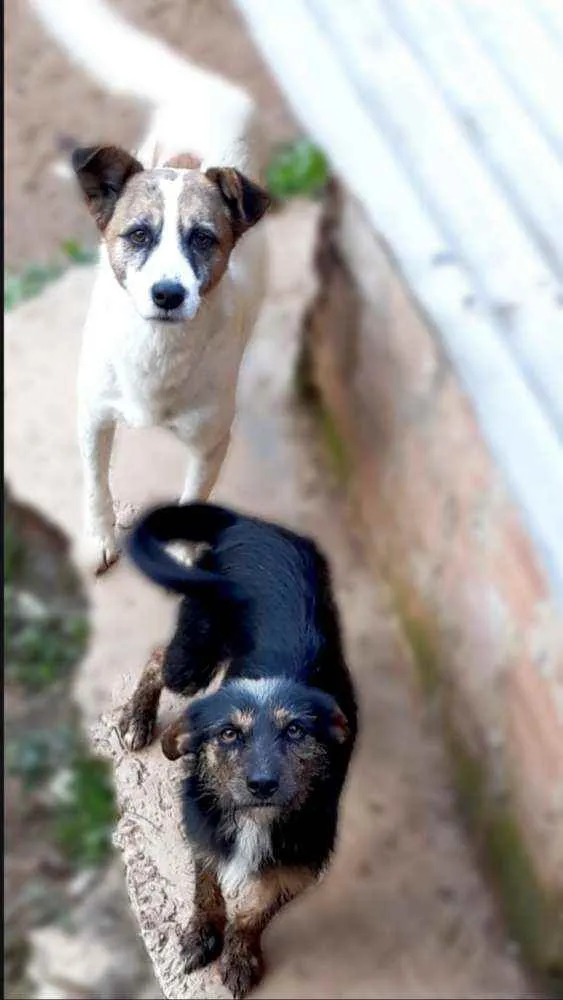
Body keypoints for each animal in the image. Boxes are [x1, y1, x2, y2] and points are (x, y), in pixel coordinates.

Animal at [31, 0, 274, 576]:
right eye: (138, 234)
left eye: (204, 238)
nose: (168, 294)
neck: (156, 350)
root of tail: (205, 85)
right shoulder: (93, 417)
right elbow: (97, 486)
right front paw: (100, 538)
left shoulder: (210, 443)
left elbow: (194, 500)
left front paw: (183, 555)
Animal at [119, 504, 360, 996]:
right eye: (229, 734)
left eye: (296, 731)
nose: (262, 784)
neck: (256, 820)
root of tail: (250, 523)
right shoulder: (202, 825)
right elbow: (206, 888)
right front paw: (201, 934)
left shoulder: (299, 860)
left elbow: (256, 911)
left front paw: (240, 955)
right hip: (194, 655)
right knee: (157, 659)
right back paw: (138, 718)